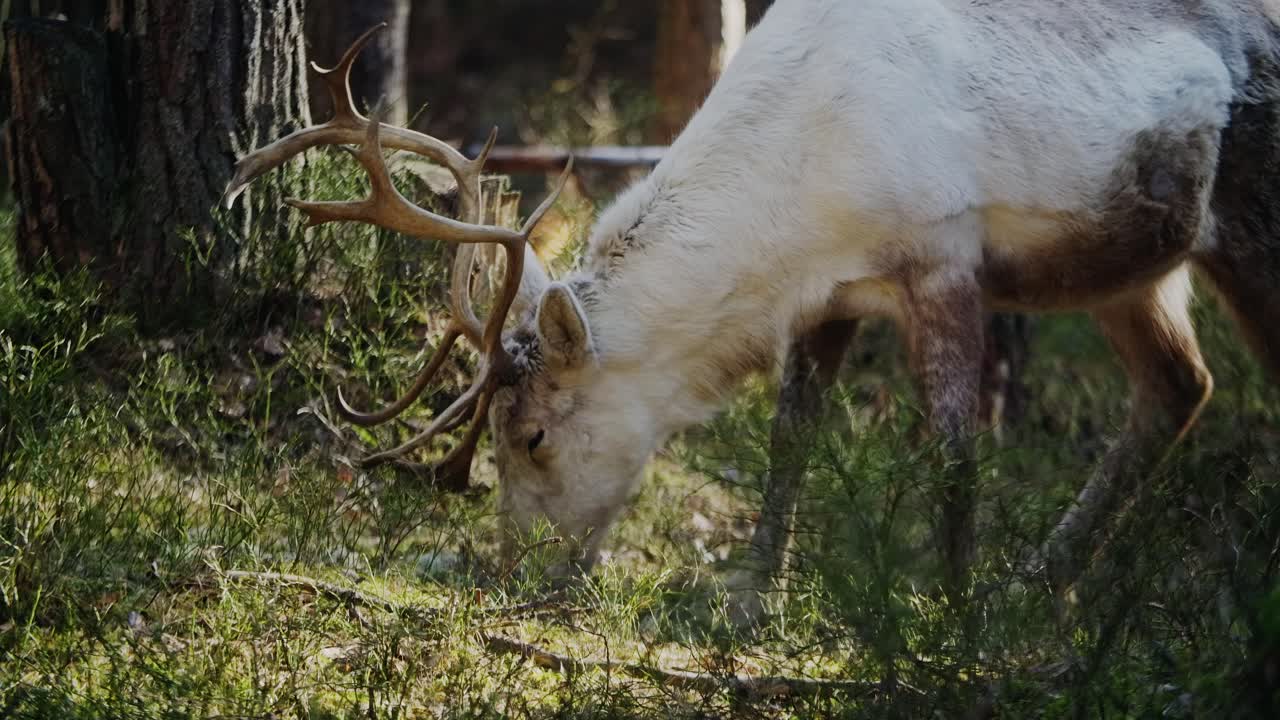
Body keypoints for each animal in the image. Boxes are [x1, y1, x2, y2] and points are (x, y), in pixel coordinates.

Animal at [227, 0, 1280, 624]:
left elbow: (953, 448)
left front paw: (947, 608)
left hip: (1250, 222)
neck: (802, 202)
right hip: (1134, 269)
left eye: (531, 435)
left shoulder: (944, 253)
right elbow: (790, 437)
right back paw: (1040, 580)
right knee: (1183, 384)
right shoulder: (831, 294)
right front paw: (748, 596)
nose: (510, 570)